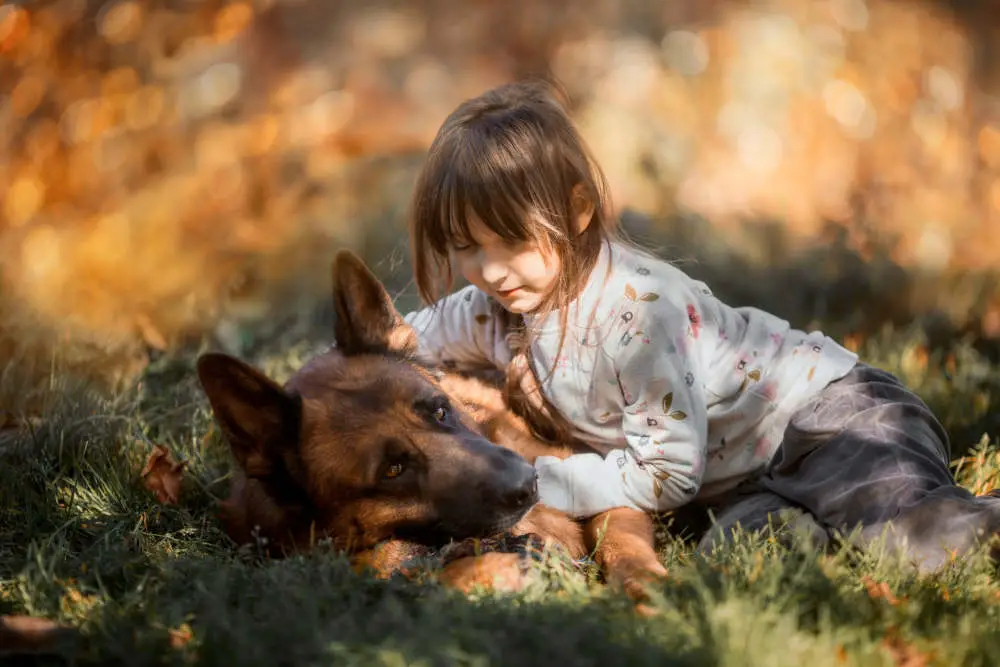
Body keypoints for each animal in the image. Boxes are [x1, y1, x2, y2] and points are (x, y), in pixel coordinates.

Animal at [194, 252, 664, 604]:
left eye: (439, 412)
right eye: (393, 471)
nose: (528, 485)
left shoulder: (608, 494)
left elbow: (621, 545)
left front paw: (652, 593)